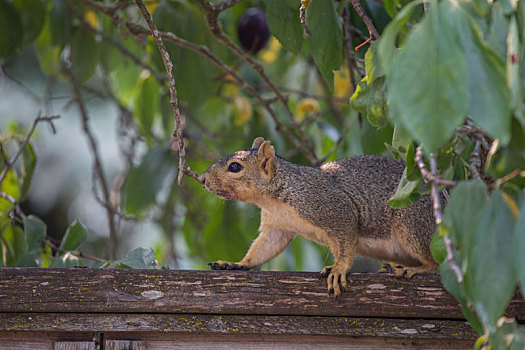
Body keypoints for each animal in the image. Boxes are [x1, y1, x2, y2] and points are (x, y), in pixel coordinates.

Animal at [201, 136, 438, 296]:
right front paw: (236, 264)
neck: (273, 200)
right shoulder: (277, 226)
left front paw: (339, 268)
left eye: (234, 166)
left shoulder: (334, 208)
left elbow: (345, 242)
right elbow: (264, 248)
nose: (202, 179)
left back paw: (415, 268)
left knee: (435, 264)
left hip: (413, 222)